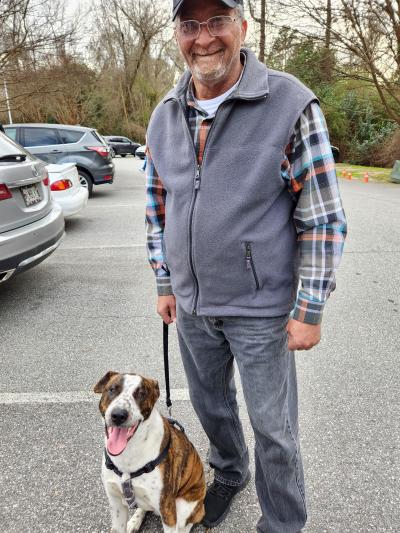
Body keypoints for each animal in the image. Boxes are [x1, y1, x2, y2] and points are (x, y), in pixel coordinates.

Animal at [95, 370, 205, 532]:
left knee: (189, 521)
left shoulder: (168, 511)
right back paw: (135, 521)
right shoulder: (116, 505)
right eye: (112, 389)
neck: (128, 454)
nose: (119, 415)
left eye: (141, 393)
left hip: (184, 506)